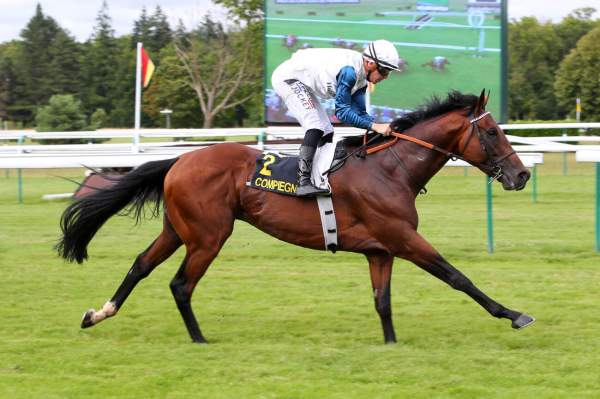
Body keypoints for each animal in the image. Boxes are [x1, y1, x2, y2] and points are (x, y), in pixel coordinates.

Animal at [56, 90, 536, 344]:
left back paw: (98, 313)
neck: (391, 168)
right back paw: (199, 338)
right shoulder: (403, 239)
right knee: (181, 284)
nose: (522, 174)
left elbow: (382, 300)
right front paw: (514, 314)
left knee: (140, 265)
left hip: (178, 228)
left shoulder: (380, 250)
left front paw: (391, 343)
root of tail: (178, 161)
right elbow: (458, 277)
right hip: (209, 235)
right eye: (491, 131)